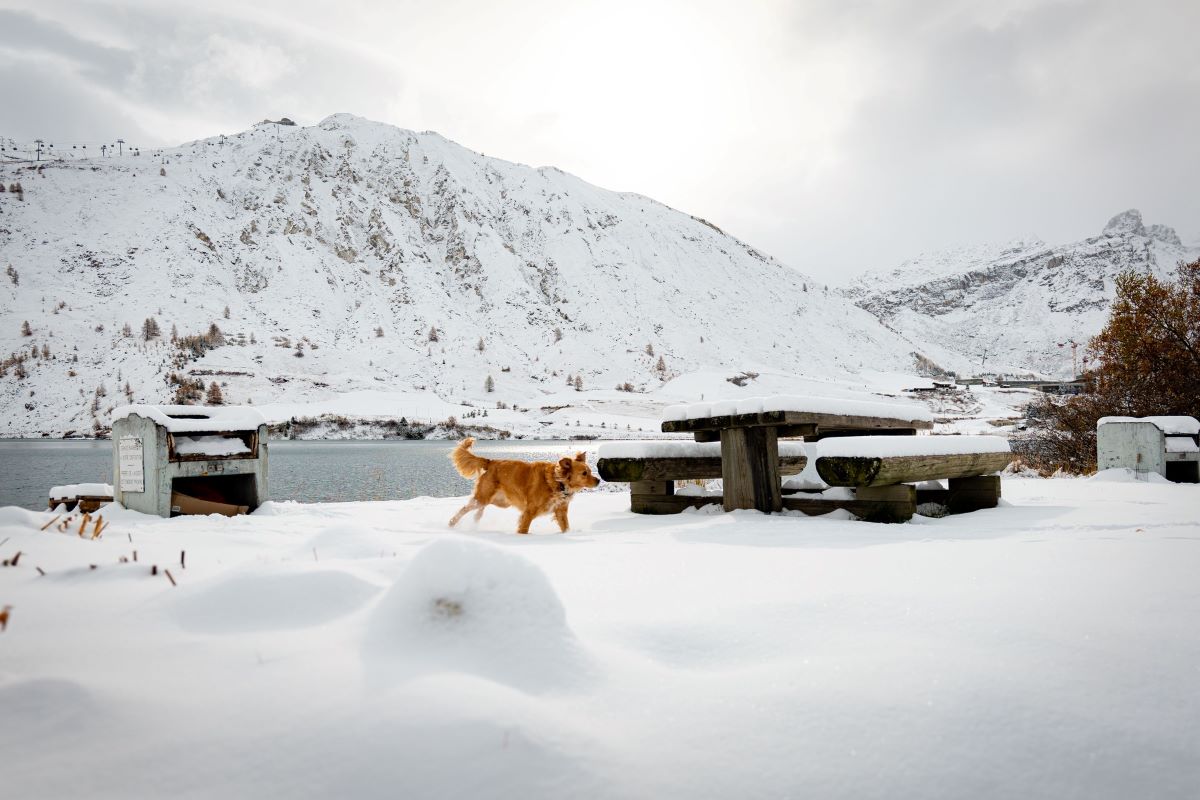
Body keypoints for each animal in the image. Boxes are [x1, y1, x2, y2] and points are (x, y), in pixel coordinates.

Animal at [446, 438, 600, 532]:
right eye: (584, 473)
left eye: (590, 471)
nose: (598, 480)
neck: (558, 482)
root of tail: (490, 461)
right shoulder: (529, 511)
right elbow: (524, 529)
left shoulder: (560, 512)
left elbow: (565, 527)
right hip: (483, 497)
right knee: (465, 508)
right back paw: (452, 524)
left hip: (500, 501)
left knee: (478, 509)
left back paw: (475, 522)